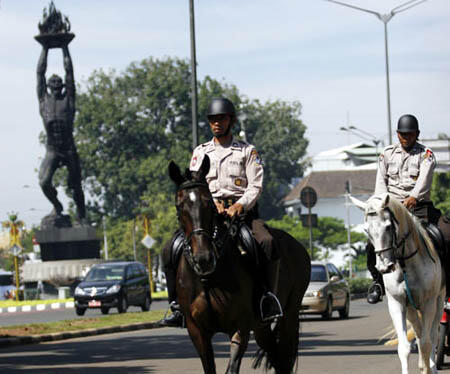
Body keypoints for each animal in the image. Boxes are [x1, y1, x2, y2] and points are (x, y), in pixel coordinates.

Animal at [167, 156, 312, 372]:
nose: (203, 259)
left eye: (209, 203)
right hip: (261, 327)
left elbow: (232, 367)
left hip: (289, 315)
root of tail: (298, 246)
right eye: (179, 206)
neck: (208, 279)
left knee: (283, 359)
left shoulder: (240, 328)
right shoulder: (197, 331)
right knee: (274, 353)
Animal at [352, 194, 442, 372]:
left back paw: (431, 366)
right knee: (419, 333)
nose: (384, 266)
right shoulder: (397, 302)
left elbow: (427, 343)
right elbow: (405, 347)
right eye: (366, 230)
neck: (406, 262)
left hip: (439, 301)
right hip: (412, 308)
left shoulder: (429, 303)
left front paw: (428, 368)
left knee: (432, 336)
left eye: (388, 226)